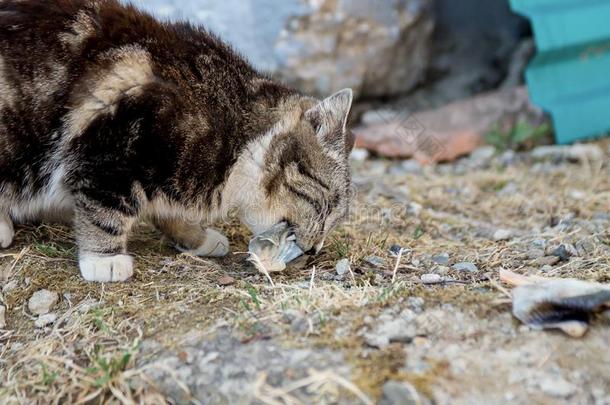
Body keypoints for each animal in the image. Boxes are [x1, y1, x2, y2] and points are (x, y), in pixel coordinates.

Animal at [0, 0, 352, 280]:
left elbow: (165, 208)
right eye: (325, 204)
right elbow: (105, 209)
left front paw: (195, 236)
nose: (314, 250)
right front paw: (104, 260)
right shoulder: (112, 149)